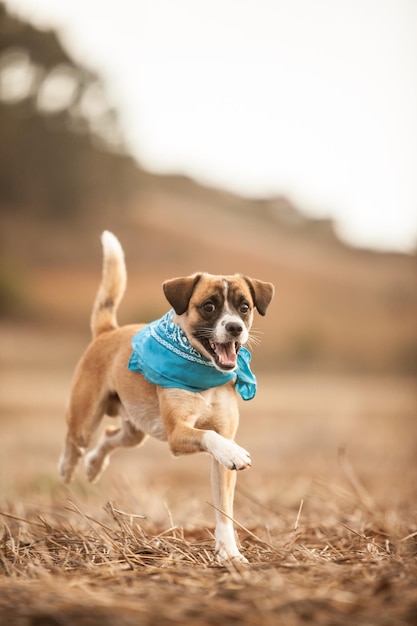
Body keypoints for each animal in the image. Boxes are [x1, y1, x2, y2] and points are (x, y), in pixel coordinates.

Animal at [58, 232, 272, 564]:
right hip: (85, 418)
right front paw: (234, 453)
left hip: (135, 430)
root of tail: (108, 332)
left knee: (109, 437)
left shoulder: (222, 445)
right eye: (208, 306)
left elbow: (224, 509)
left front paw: (229, 552)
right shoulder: (177, 433)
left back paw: (93, 465)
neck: (204, 372)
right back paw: (68, 468)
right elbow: (210, 436)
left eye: (245, 307)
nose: (235, 327)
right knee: (74, 441)